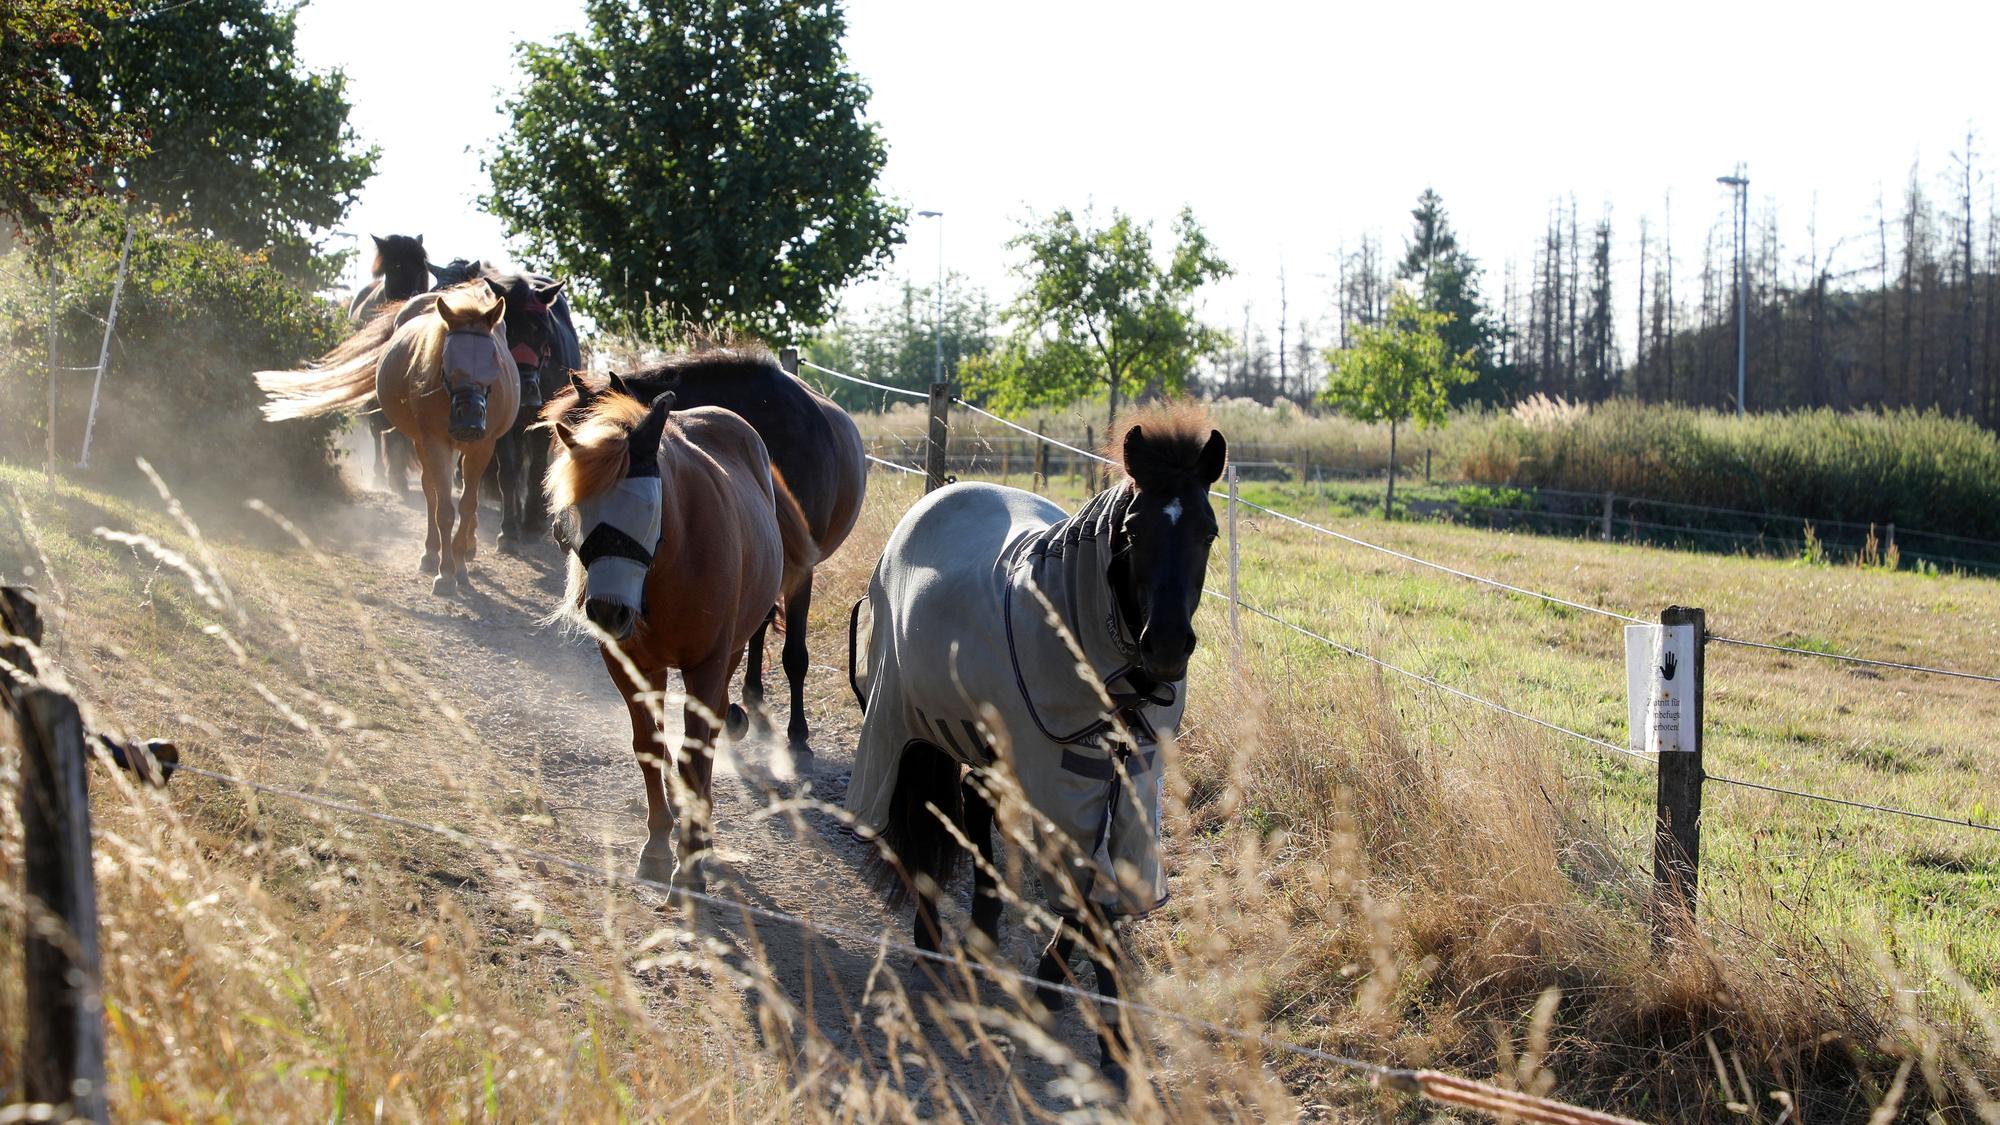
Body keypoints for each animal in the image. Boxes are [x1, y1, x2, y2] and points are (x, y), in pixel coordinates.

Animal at [259, 286, 520, 594]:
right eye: (446, 359)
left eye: (494, 357)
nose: (469, 416)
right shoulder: (434, 442)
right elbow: (444, 509)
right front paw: (445, 573)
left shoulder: (482, 446)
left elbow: (468, 506)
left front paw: (460, 566)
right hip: (423, 442)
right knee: (430, 492)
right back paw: (431, 552)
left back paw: (467, 546)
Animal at [347, 234, 430, 492]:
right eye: (394, 267)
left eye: (421, 267)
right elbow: (383, 428)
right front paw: (392, 474)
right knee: (377, 430)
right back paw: (380, 473)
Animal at [542, 383, 813, 889]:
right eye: (578, 511)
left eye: (650, 508)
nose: (608, 611)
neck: (670, 567)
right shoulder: (630, 665)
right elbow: (650, 748)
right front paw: (656, 846)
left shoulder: (705, 666)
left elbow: (693, 753)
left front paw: (689, 863)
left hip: (727, 655)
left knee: (709, 734)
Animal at [844, 403, 1226, 1088]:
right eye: (1134, 530)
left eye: (1207, 531)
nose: (1165, 649)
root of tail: (932, 500)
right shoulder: (1060, 785)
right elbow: (1085, 901)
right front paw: (1102, 1032)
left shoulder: (1129, 785)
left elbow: (1102, 901)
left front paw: (1072, 999)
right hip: (909, 724)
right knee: (928, 823)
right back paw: (934, 943)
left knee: (975, 807)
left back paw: (983, 931)